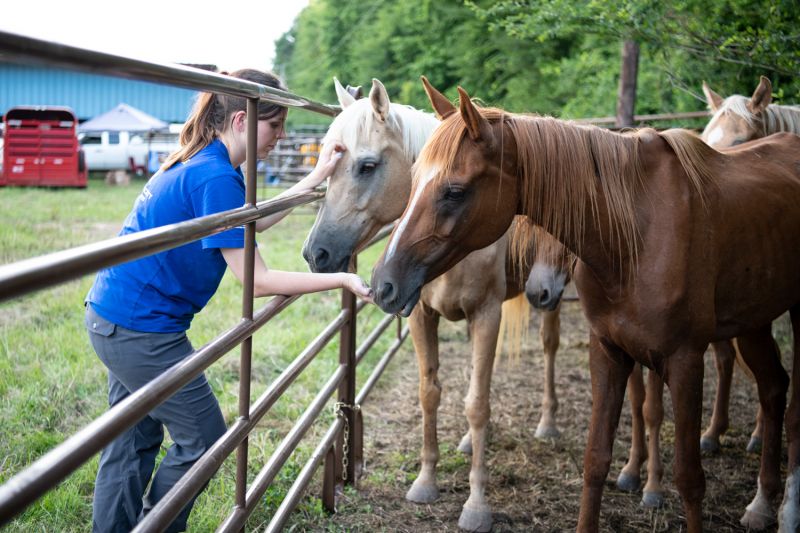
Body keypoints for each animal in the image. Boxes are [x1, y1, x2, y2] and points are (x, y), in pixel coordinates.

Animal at [300, 79, 564, 532]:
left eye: (367, 166)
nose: (315, 253)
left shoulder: (487, 315)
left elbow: (477, 404)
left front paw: (476, 505)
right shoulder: (422, 316)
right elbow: (431, 393)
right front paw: (425, 482)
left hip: (551, 294)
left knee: (548, 347)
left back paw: (547, 423)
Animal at [372, 80, 800, 532]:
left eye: (454, 191)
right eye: (413, 179)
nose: (382, 283)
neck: (638, 234)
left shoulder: (684, 359)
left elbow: (688, 476)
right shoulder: (608, 350)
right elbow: (596, 459)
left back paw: (783, 508)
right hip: (754, 321)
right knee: (774, 389)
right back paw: (761, 504)